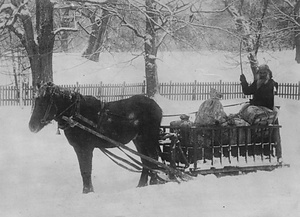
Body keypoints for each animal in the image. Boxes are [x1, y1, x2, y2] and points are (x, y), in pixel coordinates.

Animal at [29, 82, 163, 193]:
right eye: (35, 101)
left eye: (43, 102)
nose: (31, 126)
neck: (75, 113)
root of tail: (156, 106)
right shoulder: (79, 148)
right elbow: (84, 169)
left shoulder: (85, 148)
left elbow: (86, 170)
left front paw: (87, 192)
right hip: (139, 140)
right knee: (146, 161)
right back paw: (142, 185)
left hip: (149, 138)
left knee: (153, 158)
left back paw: (154, 183)